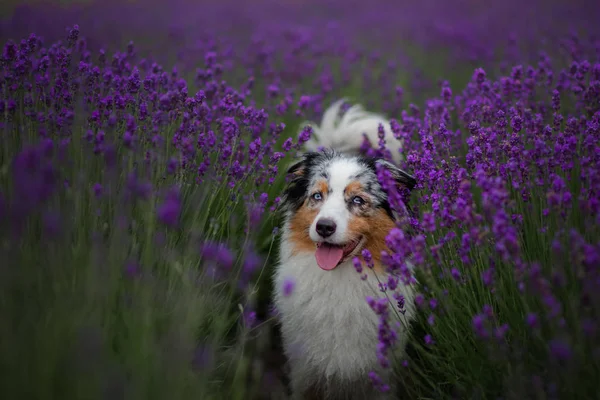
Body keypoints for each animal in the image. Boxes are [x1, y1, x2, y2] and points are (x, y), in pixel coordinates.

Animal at [274, 100, 418, 400]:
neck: (340, 280)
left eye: (358, 200)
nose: (324, 227)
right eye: (317, 196)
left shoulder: (380, 375)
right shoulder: (304, 373)